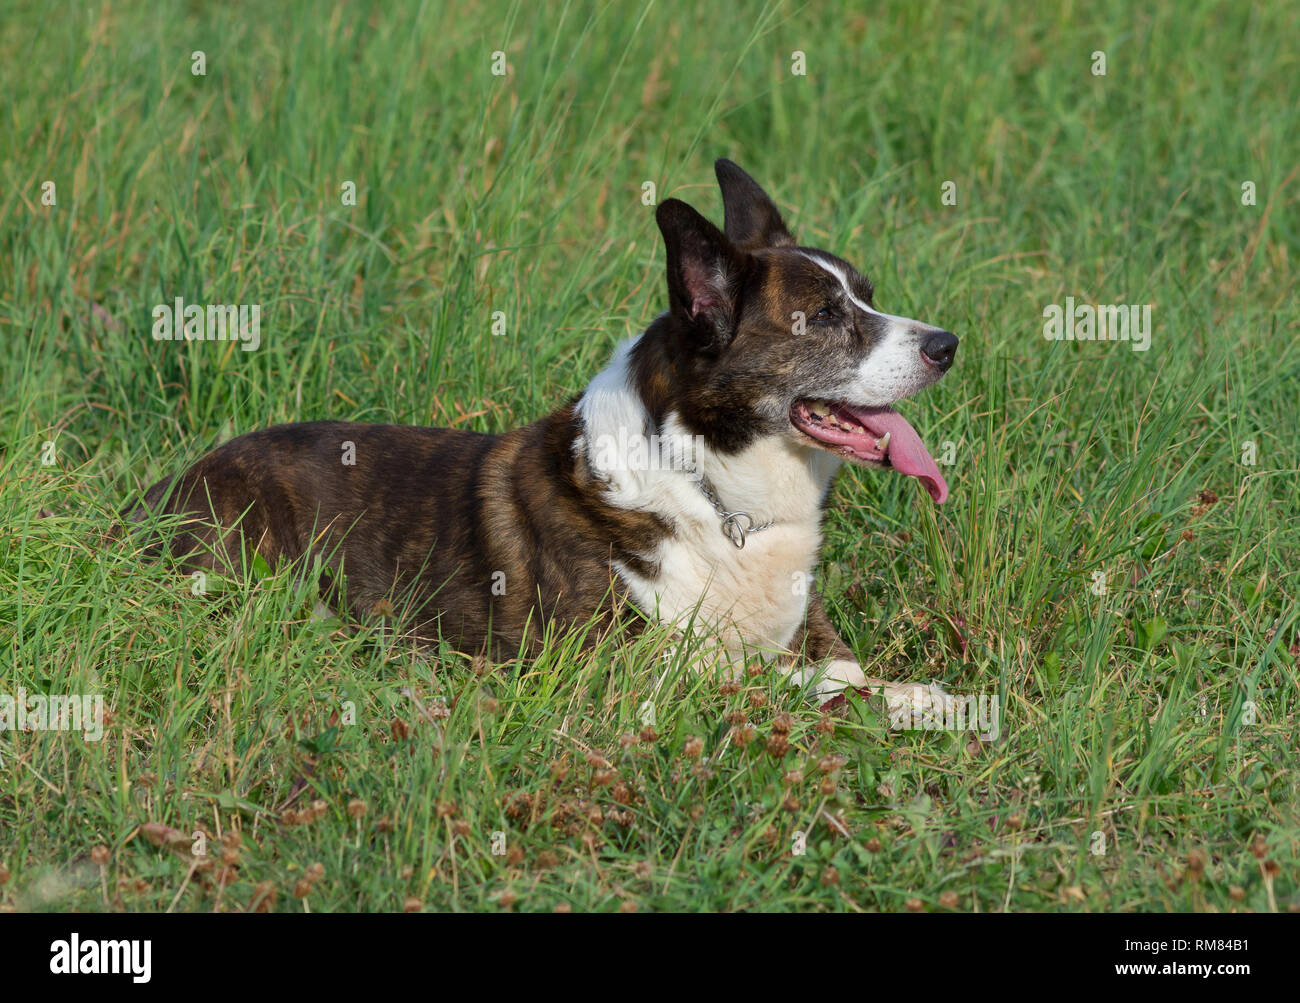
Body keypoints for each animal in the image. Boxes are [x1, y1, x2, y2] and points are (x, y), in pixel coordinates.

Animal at [129, 160, 956, 711]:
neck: (713, 490)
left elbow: (848, 672)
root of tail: (151, 498)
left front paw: (921, 698)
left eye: (868, 296)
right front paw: (932, 704)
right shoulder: (622, 673)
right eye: (825, 317)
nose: (948, 344)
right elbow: (803, 686)